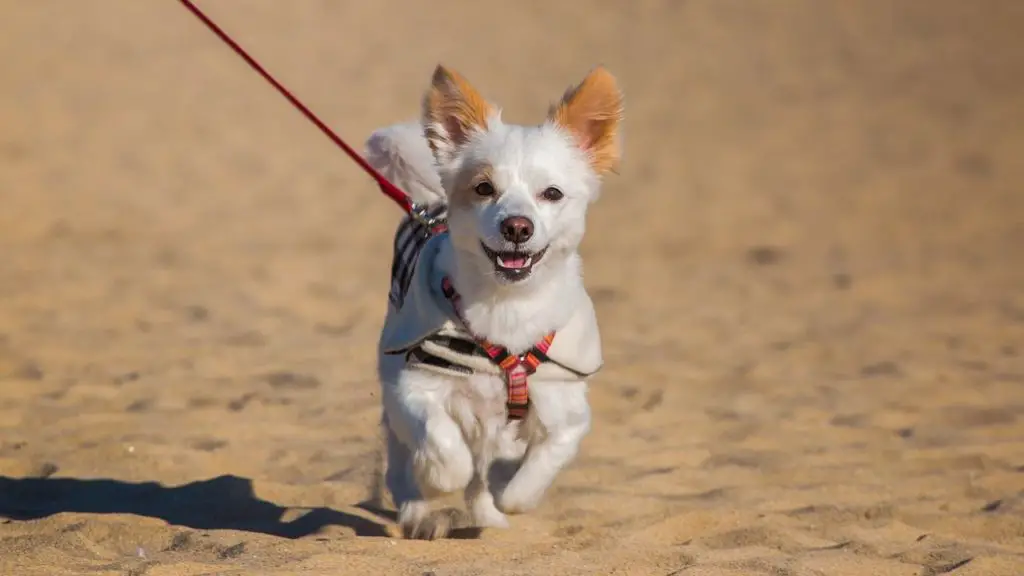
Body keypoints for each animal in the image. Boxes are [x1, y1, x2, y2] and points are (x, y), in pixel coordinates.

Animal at [368, 65, 622, 537]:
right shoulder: (412, 387)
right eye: (484, 188)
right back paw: (418, 508)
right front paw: (436, 477)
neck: (506, 308)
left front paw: (508, 489)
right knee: (401, 461)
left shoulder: (568, 410)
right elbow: (444, 448)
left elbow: (530, 475)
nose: (517, 227)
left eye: (552, 194)